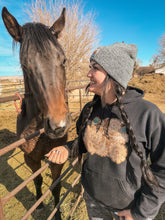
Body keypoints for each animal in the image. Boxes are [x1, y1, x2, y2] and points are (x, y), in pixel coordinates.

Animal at [1, 6, 70, 218]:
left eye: (63, 60)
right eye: (25, 65)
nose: (58, 127)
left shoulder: (58, 157)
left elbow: (56, 186)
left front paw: (57, 213)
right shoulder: (30, 159)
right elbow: (37, 180)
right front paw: (39, 205)